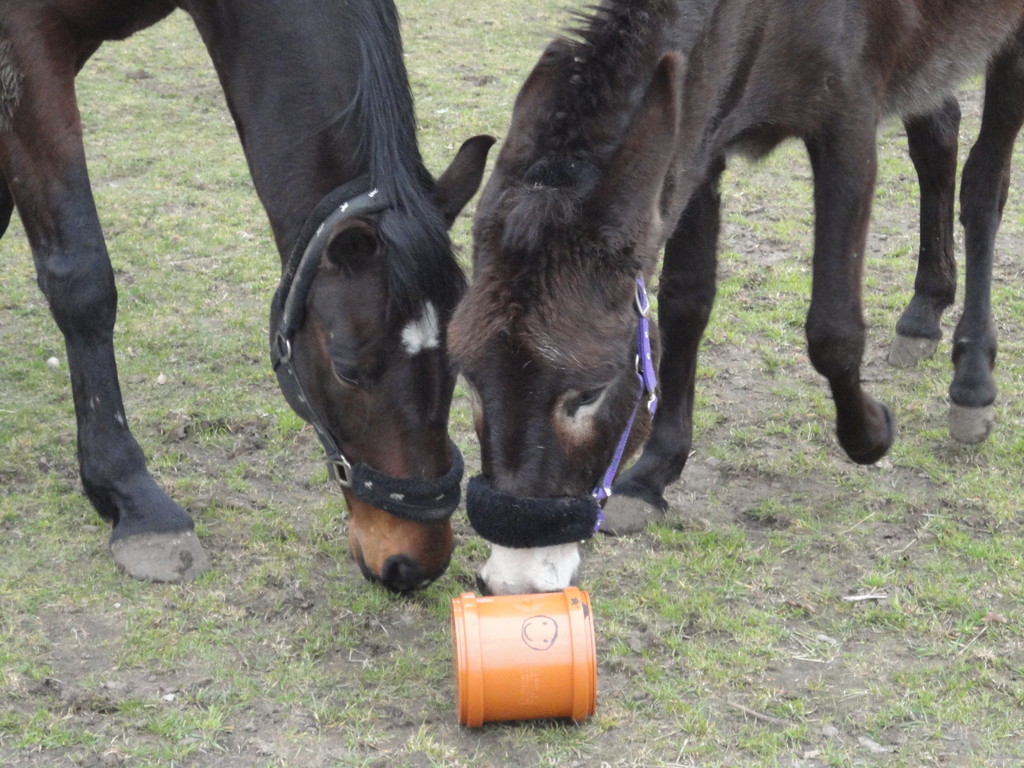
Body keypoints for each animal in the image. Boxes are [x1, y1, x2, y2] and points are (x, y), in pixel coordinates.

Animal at [0, 0, 495, 593]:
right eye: (348, 371)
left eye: (456, 361)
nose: (416, 563)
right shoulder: (27, 43)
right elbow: (82, 279)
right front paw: (129, 495)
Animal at [452, 0, 1024, 593]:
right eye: (468, 380)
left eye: (588, 395)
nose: (514, 583)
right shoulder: (701, 131)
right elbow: (685, 301)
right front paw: (654, 474)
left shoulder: (847, 122)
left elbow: (833, 330)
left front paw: (871, 434)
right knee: (938, 134)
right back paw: (924, 312)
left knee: (985, 184)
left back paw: (973, 378)